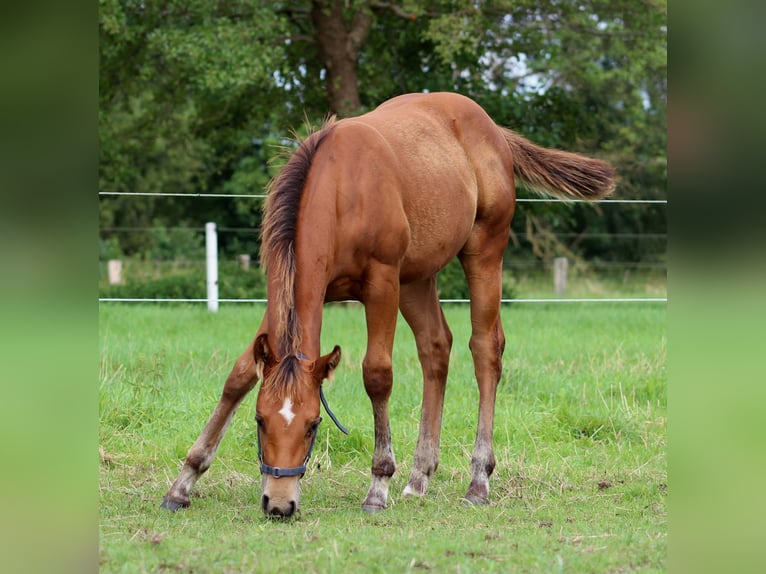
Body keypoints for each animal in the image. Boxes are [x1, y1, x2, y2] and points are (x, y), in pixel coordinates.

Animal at [162, 92, 616, 520]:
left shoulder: (381, 285)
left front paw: (378, 486)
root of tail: (493, 130)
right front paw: (183, 482)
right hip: (416, 277)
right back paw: (419, 477)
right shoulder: (289, 294)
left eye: (313, 425)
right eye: (260, 420)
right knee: (436, 346)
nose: (279, 504)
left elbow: (377, 375)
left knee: (486, 348)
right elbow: (239, 375)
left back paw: (478, 480)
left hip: (483, 252)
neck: (341, 188)